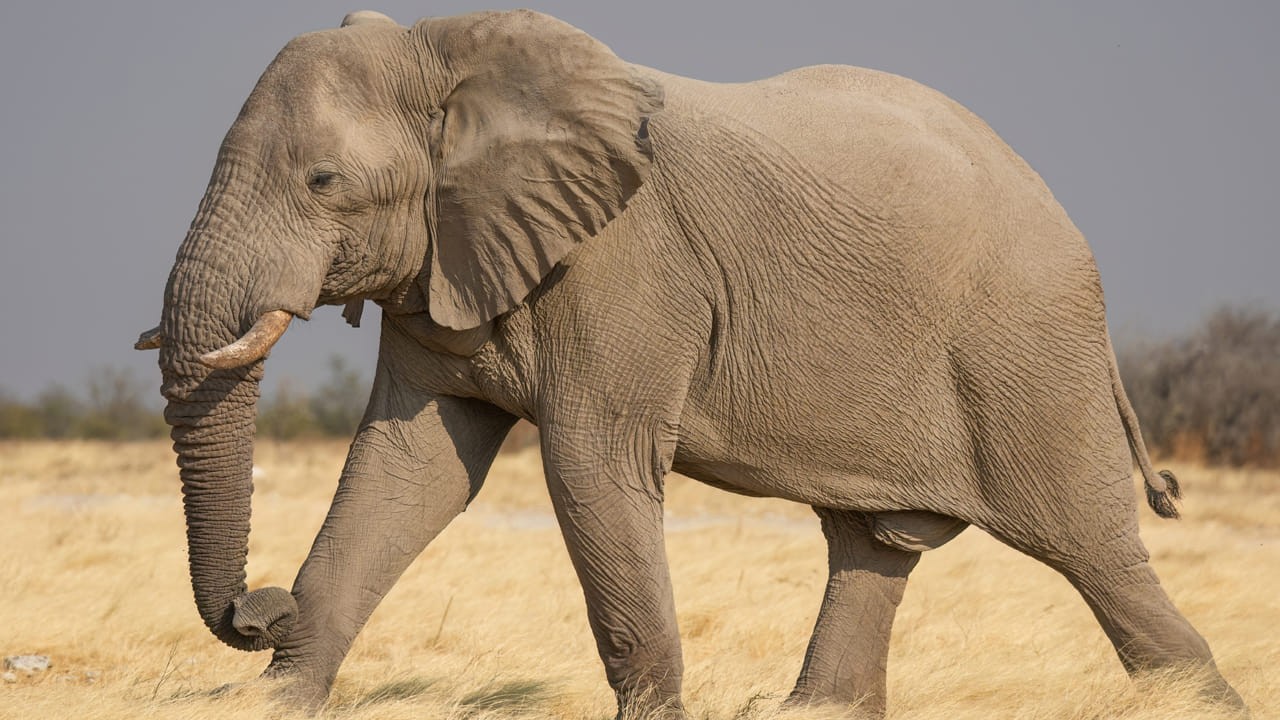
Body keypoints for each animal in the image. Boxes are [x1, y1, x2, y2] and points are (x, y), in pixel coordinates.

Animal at [135, 9, 1246, 718]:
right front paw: (279, 699)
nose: (256, 607)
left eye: (324, 182)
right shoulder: (446, 260)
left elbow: (590, 467)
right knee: (873, 545)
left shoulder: (624, 266)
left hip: (1026, 349)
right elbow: (408, 471)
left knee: (1095, 555)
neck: (453, 55)